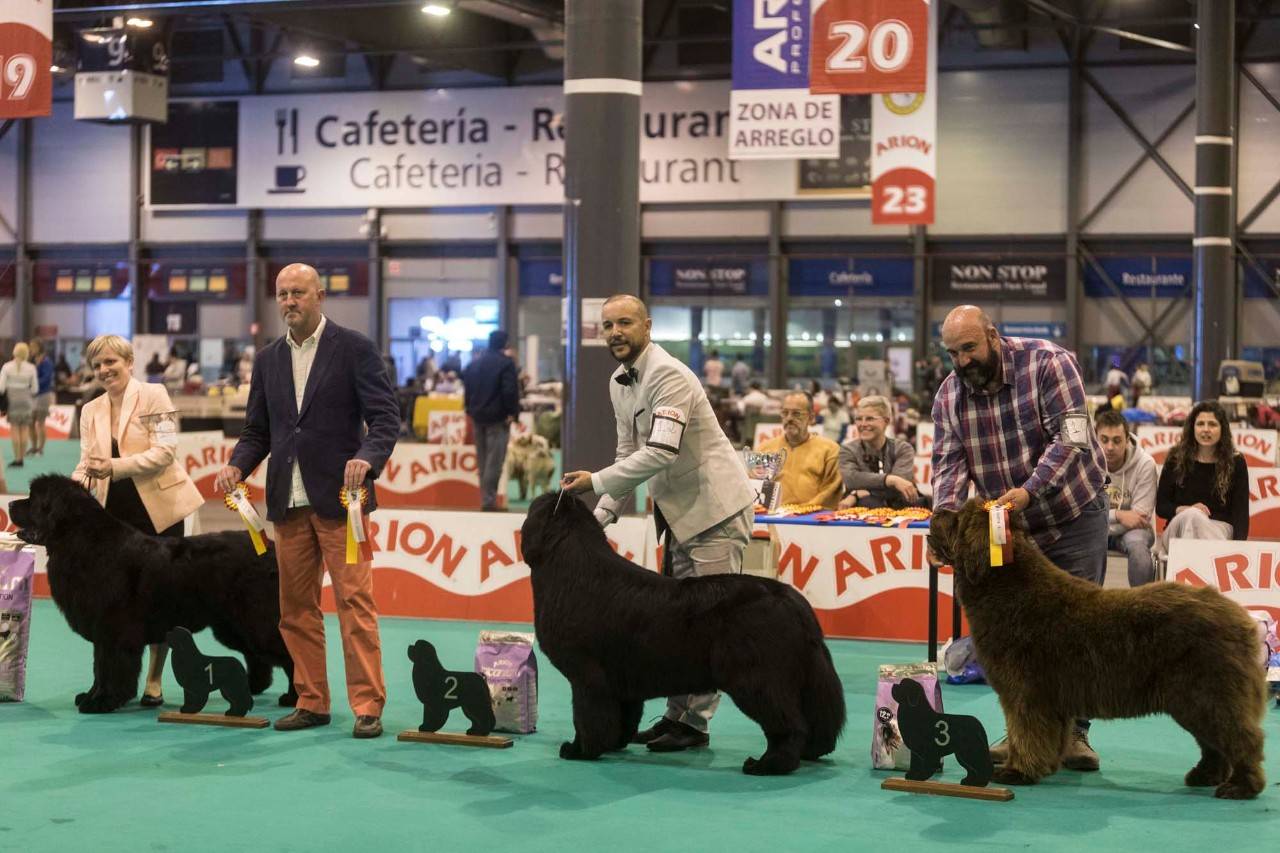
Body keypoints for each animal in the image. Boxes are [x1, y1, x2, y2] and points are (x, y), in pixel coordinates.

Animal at [11, 471, 295, 712]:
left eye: (33, 500)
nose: (11, 504)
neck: (81, 543)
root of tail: (269, 548)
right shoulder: (102, 630)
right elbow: (98, 667)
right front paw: (91, 696)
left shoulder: (113, 630)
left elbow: (109, 666)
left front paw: (102, 701)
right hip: (231, 625)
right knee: (256, 655)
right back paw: (252, 686)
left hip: (254, 619)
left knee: (287, 651)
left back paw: (293, 697)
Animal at [514, 489, 844, 773]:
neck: (568, 565)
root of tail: (792, 601)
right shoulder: (621, 681)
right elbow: (622, 717)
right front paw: (614, 744)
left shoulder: (588, 677)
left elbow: (587, 717)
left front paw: (580, 749)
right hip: (802, 676)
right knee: (815, 719)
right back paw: (809, 753)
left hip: (757, 678)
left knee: (788, 724)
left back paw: (767, 765)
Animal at [926, 499, 1264, 799]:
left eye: (957, 519)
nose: (937, 511)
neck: (1009, 588)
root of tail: (1241, 618)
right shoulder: (1049, 699)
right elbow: (1047, 735)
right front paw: (1043, 767)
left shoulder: (1024, 692)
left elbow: (1026, 732)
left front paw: (1018, 771)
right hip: (1195, 700)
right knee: (1214, 744)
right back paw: (1205, 775)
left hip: (1208, 694)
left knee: (1242, 738)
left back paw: (1241, 787)